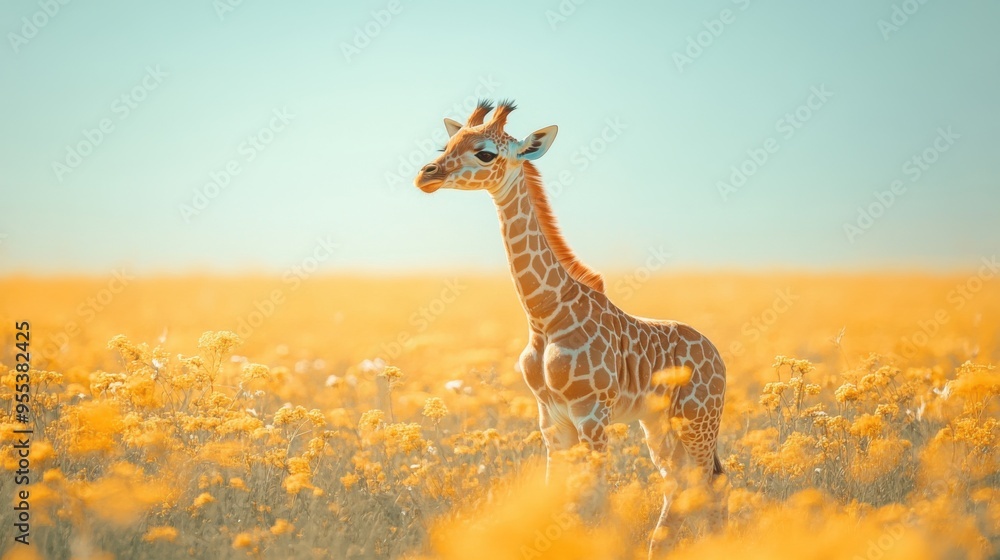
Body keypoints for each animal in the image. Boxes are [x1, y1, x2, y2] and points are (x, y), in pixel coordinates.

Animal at [413, 100, 727, 555]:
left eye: (485, 153)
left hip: (698, 418)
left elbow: (594, 499)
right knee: (679, 481)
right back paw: (659, 547)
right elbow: (555, 495)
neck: (545, 315)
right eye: (447, 144)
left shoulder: (592, 414)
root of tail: (718, 355)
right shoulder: (551, 418)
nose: (426, 174)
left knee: (711, 481)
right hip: (658, 422)